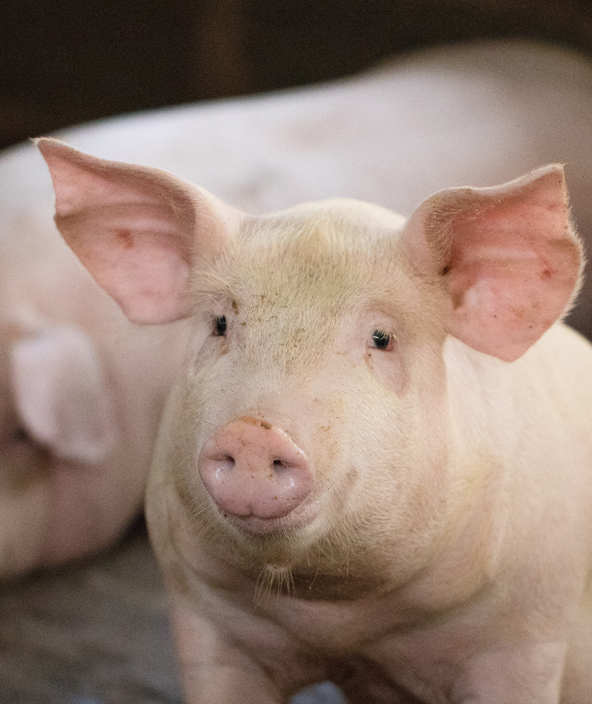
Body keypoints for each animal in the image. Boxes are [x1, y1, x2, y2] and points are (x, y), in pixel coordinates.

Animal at [37, 134, 592, 704]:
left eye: (382, 338)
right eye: (220, 324)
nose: (255, 433)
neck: (338, 614)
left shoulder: (526, 638)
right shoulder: (203, 621)